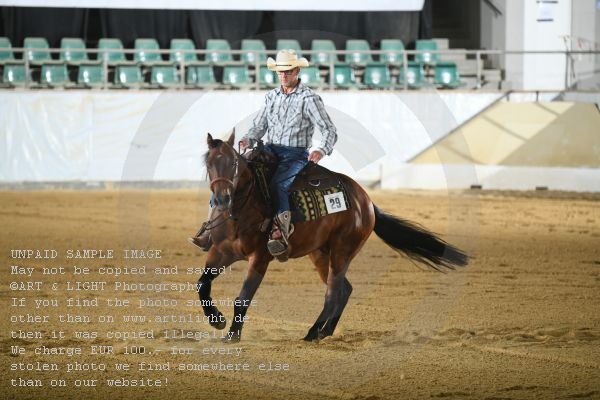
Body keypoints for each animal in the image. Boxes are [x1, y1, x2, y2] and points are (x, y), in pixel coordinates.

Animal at [198, 133, 468, 342]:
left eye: (234, 164)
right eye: (208, 164)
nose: (222, 198)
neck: (243, 210)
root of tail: (366, 201)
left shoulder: (260, 258)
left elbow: (243, 298)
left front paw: (232, 335)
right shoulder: (220, 252)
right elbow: (202, 285)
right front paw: (217, 320)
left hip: (342, 251)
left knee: (333, 293)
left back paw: (312, 333)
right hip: (320, 253)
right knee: (344, 289)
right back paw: (325, 331)